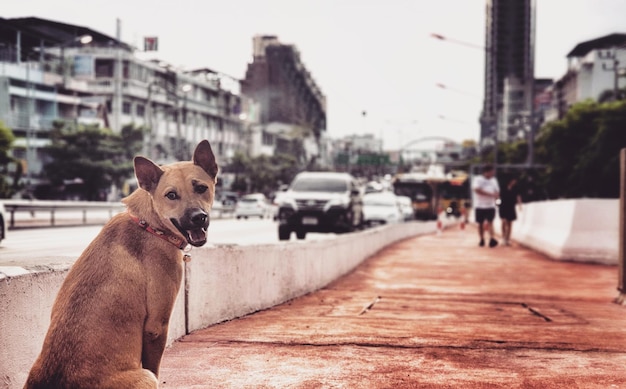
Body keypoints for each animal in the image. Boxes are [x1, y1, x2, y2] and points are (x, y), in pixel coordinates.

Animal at [24, 139, 218, 384]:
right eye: (171, 195)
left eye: (201, 188)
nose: (198, 217)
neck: (149, 225)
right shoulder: (157, 326)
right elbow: (155, 363)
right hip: (145, 377)